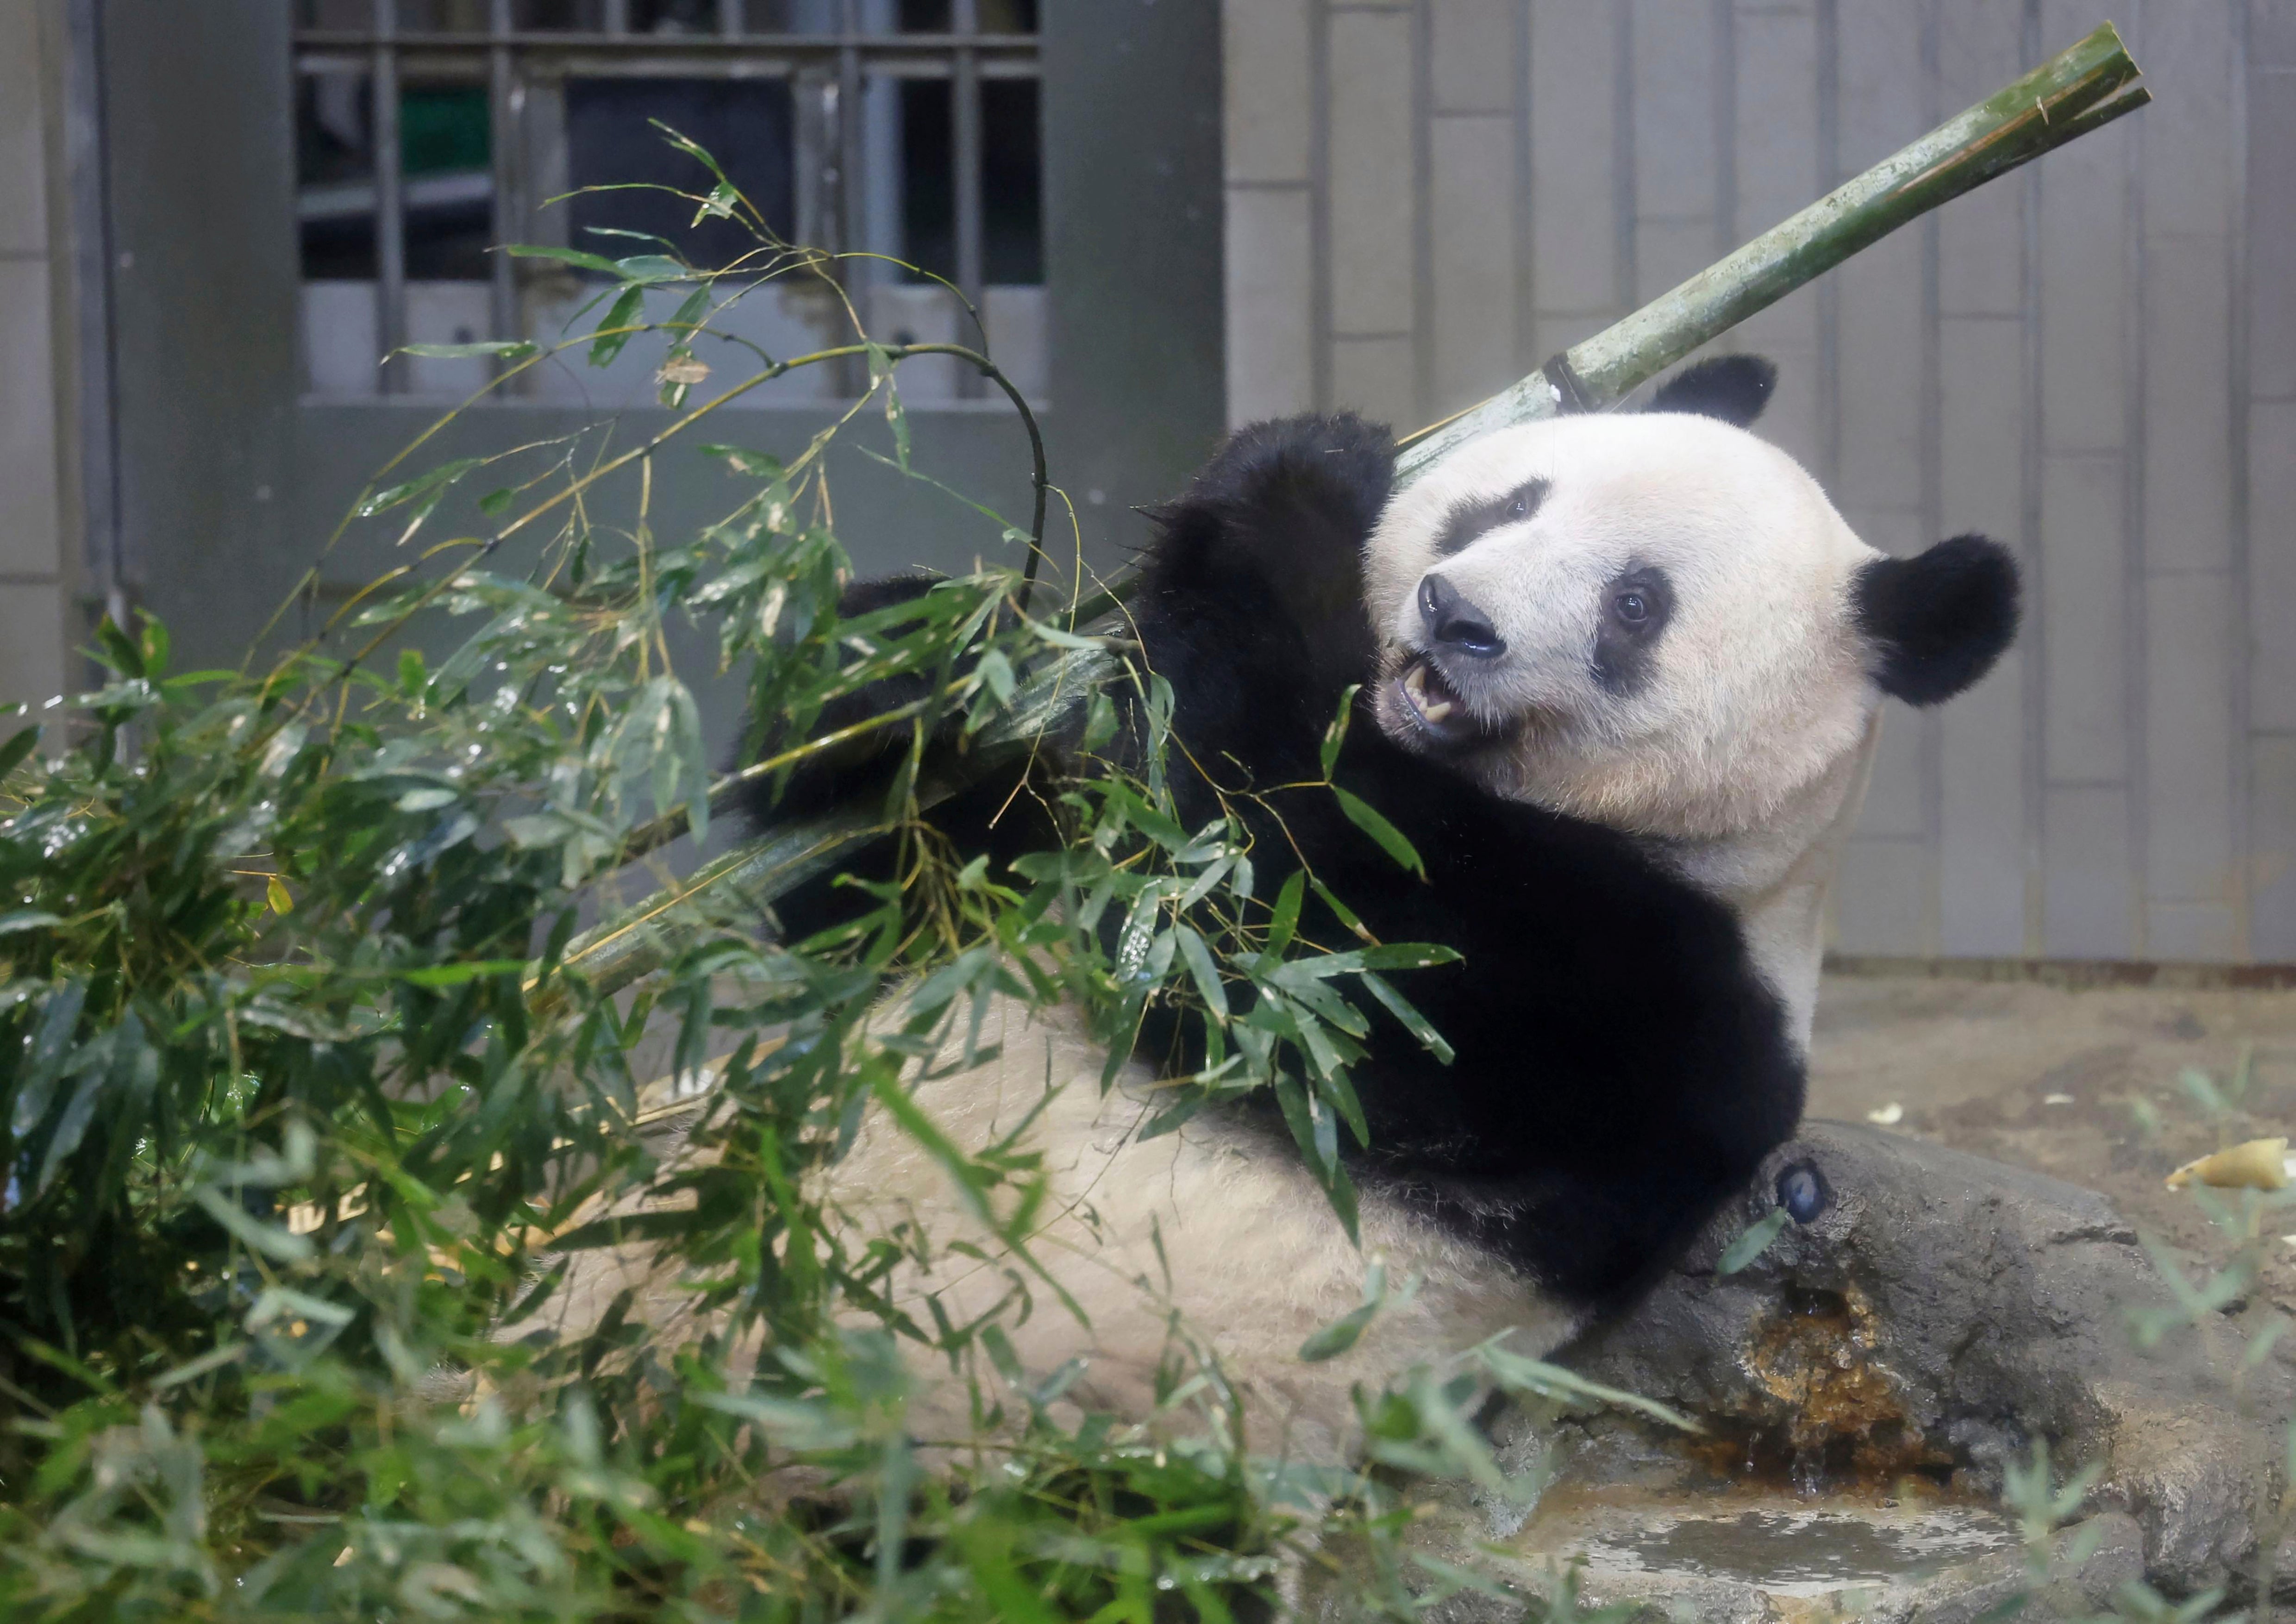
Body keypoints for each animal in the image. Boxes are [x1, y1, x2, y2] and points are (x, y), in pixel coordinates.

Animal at [731, 355, 2020, 1463]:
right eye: (1510, 503)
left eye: (1635, 605)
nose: (1455, 614)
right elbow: (900, 892)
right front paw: (902, 669)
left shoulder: (1625, 1001)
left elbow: (1267, 925)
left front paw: (1301, 480)